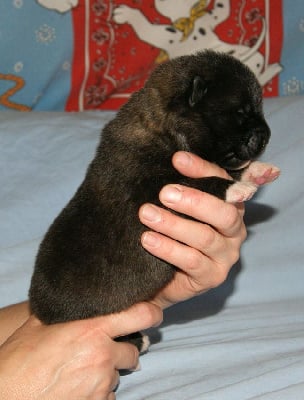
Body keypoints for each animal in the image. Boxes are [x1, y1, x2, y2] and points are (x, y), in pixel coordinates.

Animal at [29, 51, 280, 352]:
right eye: (240, 112)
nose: (267, 135)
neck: (163, 128)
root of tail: (40, 311)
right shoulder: (153, 191)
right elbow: (196, 181)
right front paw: (236, 187)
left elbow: (227, 168)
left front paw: (257, 171)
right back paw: (138, 341)